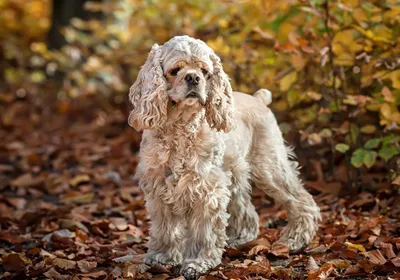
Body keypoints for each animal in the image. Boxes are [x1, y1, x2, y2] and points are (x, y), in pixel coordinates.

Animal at [126, 35, 320, 280]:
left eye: (204, 71)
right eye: (175, 70)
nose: (193, 78)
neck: (181, 126)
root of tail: (258, 99)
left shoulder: (206, 188)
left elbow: (204, 231)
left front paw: (198, 262)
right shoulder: (159, 186)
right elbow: (165, 228)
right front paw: (162, 257)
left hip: (269, 167)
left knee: (302, 200)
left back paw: (295, 240)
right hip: (235, 174)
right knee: (247, 210)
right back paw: (239, 239)